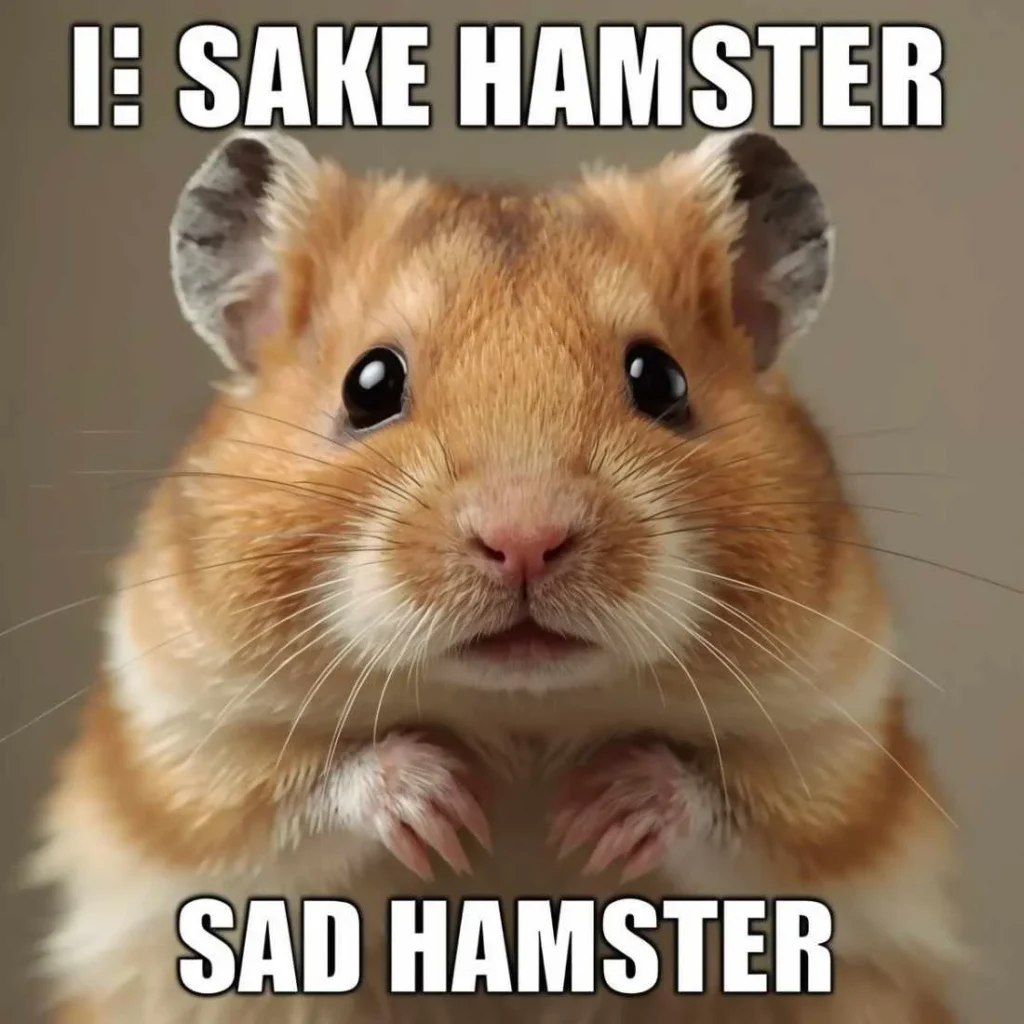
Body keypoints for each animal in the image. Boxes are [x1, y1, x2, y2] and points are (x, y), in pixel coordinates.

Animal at [32, 129, 962, 1023]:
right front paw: (446, 804)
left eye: (660, 379)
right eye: (370, 385)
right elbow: (293, 803)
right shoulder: (184, 755)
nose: (525, 540)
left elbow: (746, 819)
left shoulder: (837, 759)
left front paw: (597, 813)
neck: (521, 714)